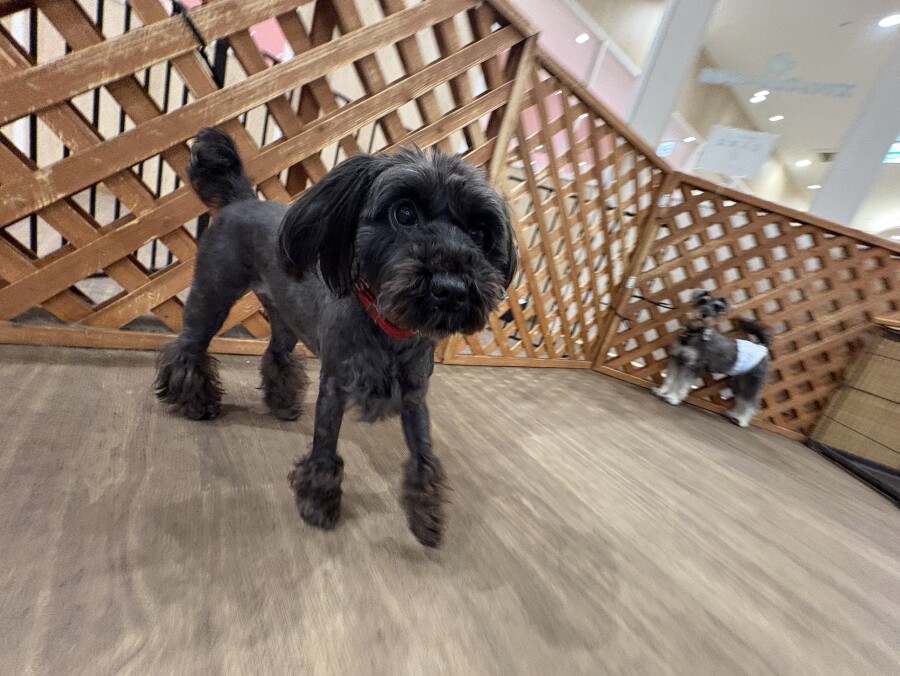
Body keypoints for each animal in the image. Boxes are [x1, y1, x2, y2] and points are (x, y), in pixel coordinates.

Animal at [154, 128, 517, 547]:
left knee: (275, 355)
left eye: (479, 233)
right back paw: (196, 404)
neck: (389, 330)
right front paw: (318, 503)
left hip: (285, 318)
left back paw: (282, 404)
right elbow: (325, 450)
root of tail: (241, 199)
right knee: (186, 349)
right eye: (404, 212)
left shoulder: (414, 396)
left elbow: (424, 455)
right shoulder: (335, 389)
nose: (452, 288)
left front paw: (427, 515)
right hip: (212, 297)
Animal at [652, 290, 771, 427]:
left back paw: (742, 420)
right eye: (702, 301)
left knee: (751, 403)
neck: (693, 333)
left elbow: (681, 384)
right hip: (739, 382)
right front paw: (661, 391)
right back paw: (734, 415)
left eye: (717, 307)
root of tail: (762, 347)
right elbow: (669, 379)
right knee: (741, 399)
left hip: (752, 383)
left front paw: (673, 398)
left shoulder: (691, 366)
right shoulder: (675, 359)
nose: (704, 314)